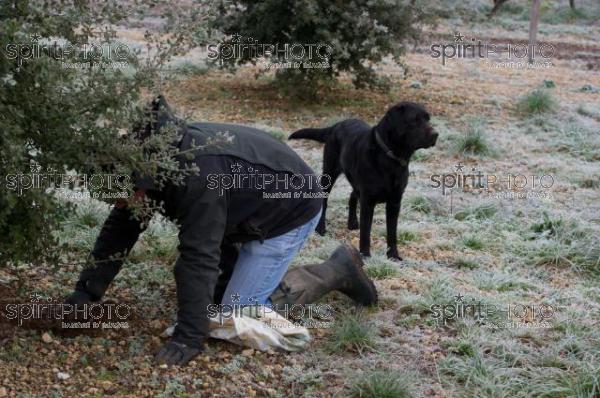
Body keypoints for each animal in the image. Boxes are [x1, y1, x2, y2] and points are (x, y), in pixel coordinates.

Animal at [288, 101, 438, 260]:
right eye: (414, 120)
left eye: (428, 118)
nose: (436, 134)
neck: (390, 159)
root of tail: (336, 125)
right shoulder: (368, 201)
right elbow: (366, 233)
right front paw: (365, 255)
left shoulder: (395, 202)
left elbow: (392, 232)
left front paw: (393, 255)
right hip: (329, 173)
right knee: (325, 200)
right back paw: (321, 228)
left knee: (352, 195)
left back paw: (352, 223)